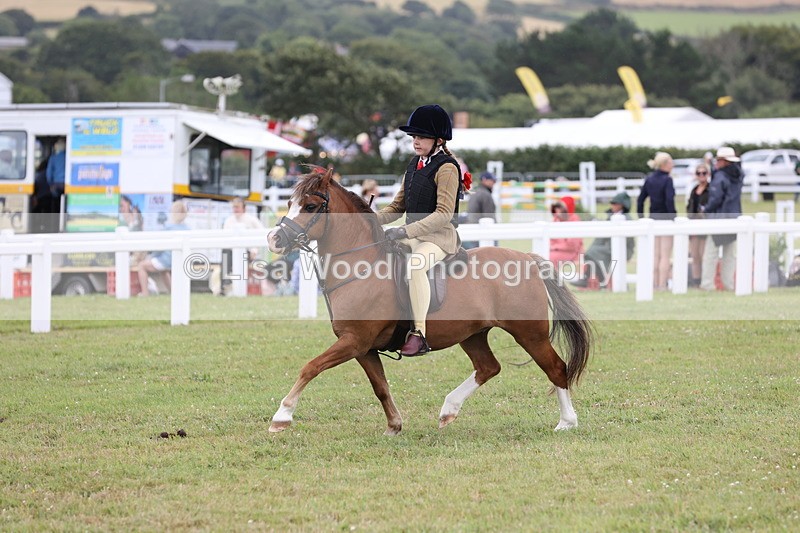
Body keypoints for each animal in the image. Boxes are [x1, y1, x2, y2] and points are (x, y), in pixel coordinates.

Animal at [266, 168, 593, 435]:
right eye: (289, 203)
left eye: (310, 206)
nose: (274, 239)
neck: (362, 266)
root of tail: (526, 258)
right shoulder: (363, 348)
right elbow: (380, 387)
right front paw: (394, 425)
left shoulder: (353, 341)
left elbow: (310, 367)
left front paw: (282, 417)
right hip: (473, 333)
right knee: (488, 367)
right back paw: (449, 410)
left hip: (529, 333)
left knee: (555, 368)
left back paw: (566, 422)